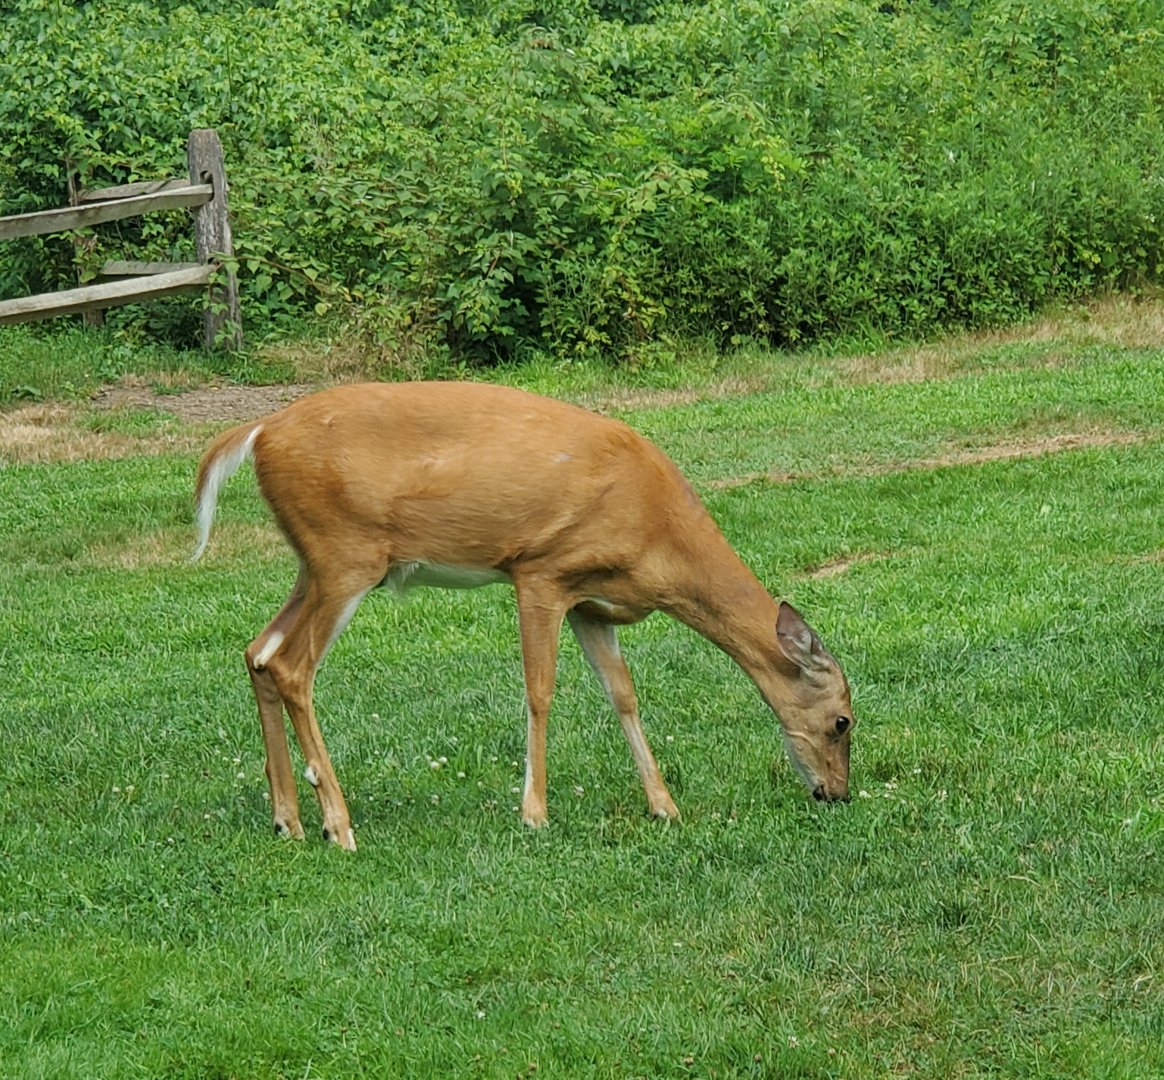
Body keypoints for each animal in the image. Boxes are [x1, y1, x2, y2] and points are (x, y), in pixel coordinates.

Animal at [193, 381, 855, 850]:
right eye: (843, 722)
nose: (839, 795)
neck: (659, 538)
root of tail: (256, 431)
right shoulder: (542, 570)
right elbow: (540, 689)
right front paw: (534, 812)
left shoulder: (593, 603)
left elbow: (623, 694)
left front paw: (663, 804)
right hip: (345, 554)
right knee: (291, 666)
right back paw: (338, 824)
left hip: (316, 562)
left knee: (258, 652)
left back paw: (288, 820)